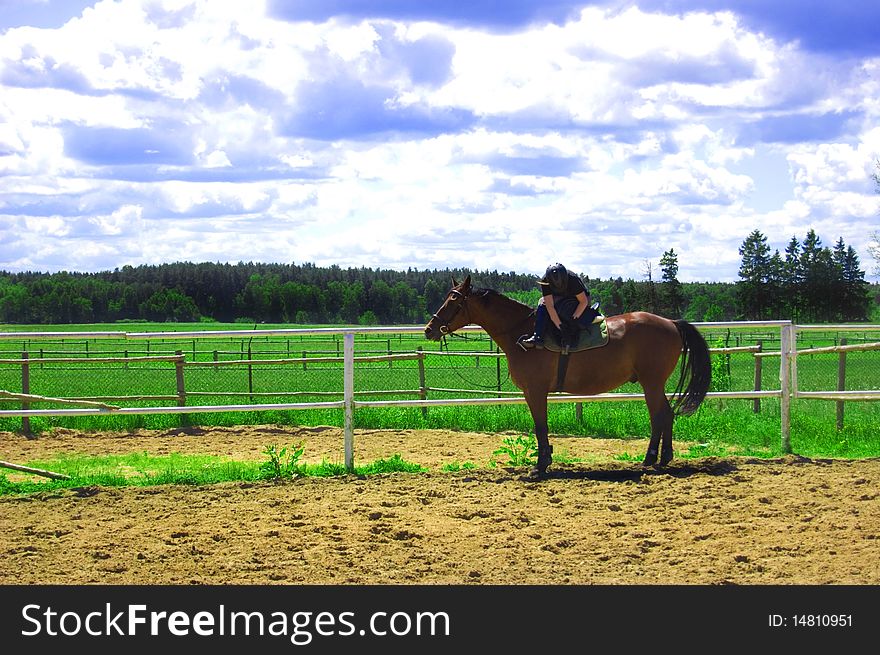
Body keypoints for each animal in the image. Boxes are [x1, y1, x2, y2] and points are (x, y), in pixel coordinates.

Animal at [422, 274, 712, 480]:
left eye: (454, 300)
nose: (429, 329)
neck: (523, 332)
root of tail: (671, 323)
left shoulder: (535, 391)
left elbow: (540, 427)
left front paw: (540, 466)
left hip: (651, 383)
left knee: (659, 415)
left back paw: (650, 459)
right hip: (654, 384)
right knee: (667, 414)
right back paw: (664, 458)